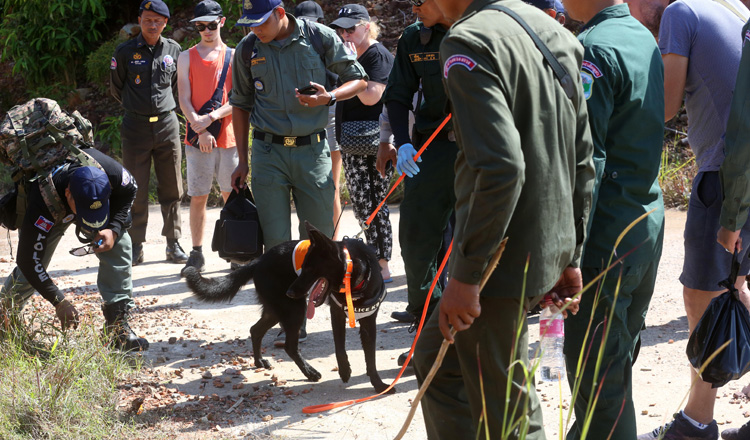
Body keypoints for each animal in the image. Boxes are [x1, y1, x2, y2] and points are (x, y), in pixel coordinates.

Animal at [184, 222, 394, 394]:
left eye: (311, 269)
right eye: (304, 266)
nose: (290, 292)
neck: (356, 275)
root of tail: (258, 261)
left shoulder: (369, 321)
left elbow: (371, 357)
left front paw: (379, 385)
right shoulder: (337, 315)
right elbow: (340, 349)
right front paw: (344, 371)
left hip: (277, 310)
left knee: (256, 330)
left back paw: (259, 361)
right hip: (294, 309)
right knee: (289, 346)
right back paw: (310, 372)